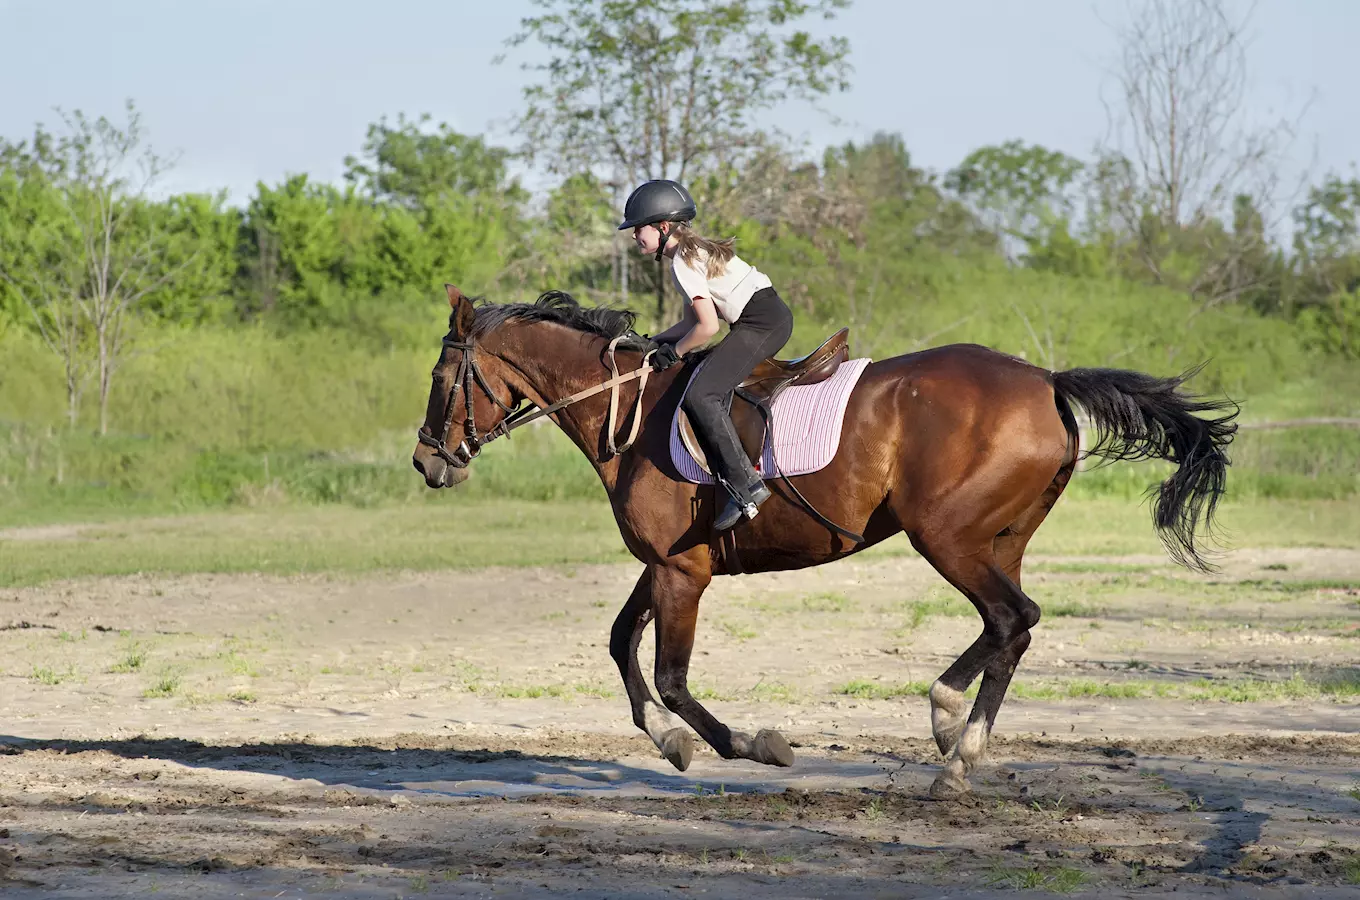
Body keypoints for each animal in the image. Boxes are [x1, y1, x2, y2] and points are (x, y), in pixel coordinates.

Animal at [408, 285, 1240, 799]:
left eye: (441, 378)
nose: (426, 462)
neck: (628, 410)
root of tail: (1045, 379)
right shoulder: (670, 563)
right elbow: (620, 643)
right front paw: (667, 742)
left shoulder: (681, 572)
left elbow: (671, 676)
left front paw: (747, 745)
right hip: (999, 541)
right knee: (1014, 628)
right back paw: (953, 737)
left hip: (947, 538)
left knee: (1011, 620)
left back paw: (953, 743)